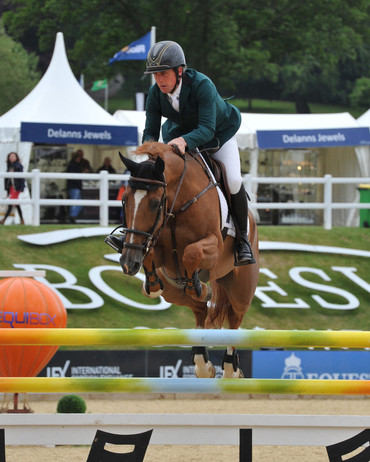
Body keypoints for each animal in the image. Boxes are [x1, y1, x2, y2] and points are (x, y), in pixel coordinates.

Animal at [117, 142, 258, 378]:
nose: (129, 262)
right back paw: (202, 361)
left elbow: (191, 252)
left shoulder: (214, 246)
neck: (178, 202)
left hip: (241, 289)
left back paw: (231, 368)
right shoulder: (157, 247)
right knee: (201, 309)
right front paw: (152, 285)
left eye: (155, 203)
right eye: (124, 200)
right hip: (173, 292)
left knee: (234, 318)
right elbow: (152, 254)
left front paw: (197, 282)